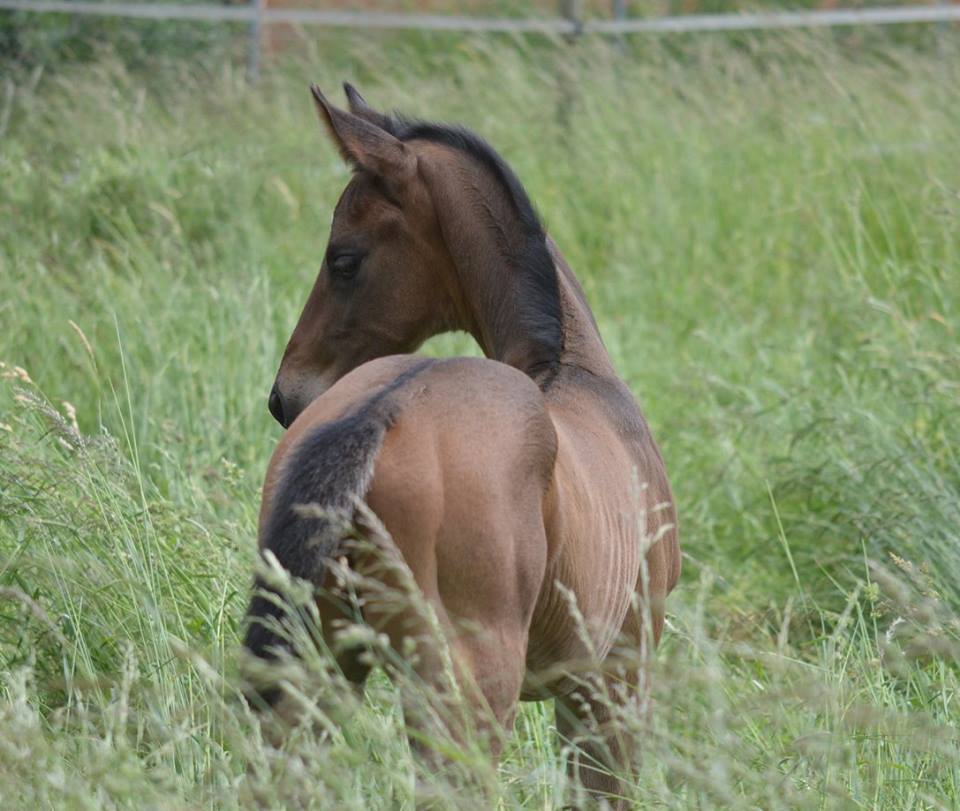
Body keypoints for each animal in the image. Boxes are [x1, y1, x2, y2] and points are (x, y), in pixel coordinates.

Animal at [248, 82, 684, 804]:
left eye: (344, 258)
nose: (286, 395)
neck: (574, 371)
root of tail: (380, 412)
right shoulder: (615, 675)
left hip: (320, 668)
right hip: (468, 688)